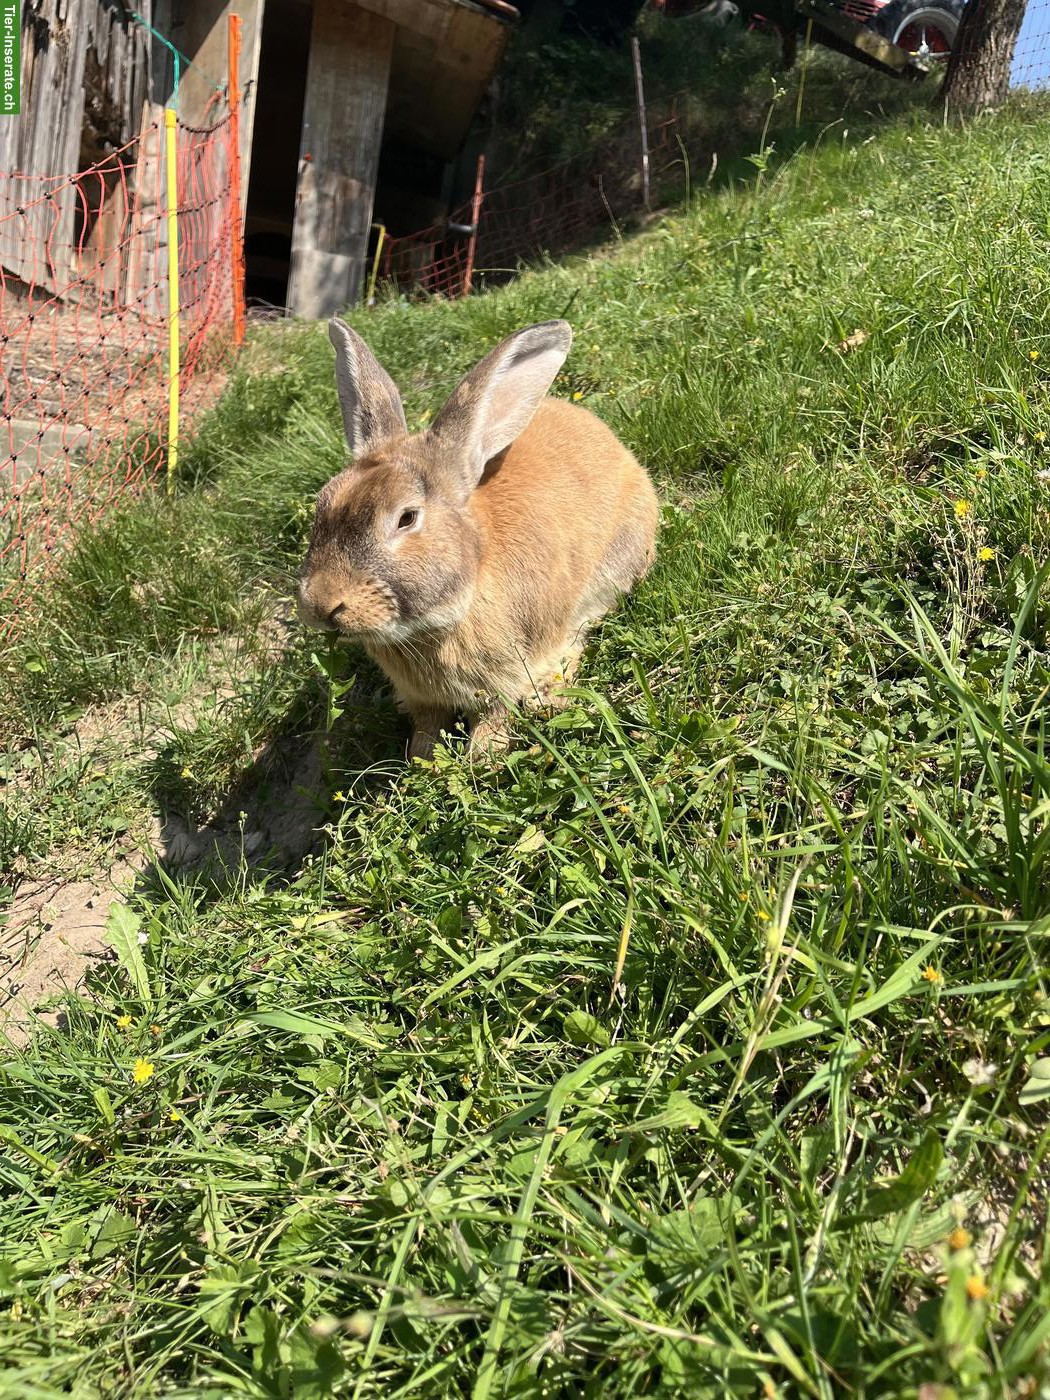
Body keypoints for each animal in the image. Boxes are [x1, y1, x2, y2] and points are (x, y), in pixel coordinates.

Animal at [297, 317, 659, 759]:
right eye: (322, 504)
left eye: (406, 518)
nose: (320, 604)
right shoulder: (423, 698)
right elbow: (427, 726)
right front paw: (422, 759)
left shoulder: (507, 675)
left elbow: (495, 718)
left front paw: (482, 758)